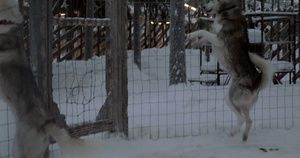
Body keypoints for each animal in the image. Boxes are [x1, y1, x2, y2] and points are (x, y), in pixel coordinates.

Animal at [188, 0, 274, 141]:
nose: (203, 7)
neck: (227, 9)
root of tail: (257, 81)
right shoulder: (215, 36)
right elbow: (205, 36)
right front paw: (196, 43)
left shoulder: (219, 39)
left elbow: (204, 31)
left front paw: (191, 35)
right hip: (233, 100)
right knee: (249, 120)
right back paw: (242, 136)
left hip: (232, 98)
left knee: (242, 118)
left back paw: (234, 133)